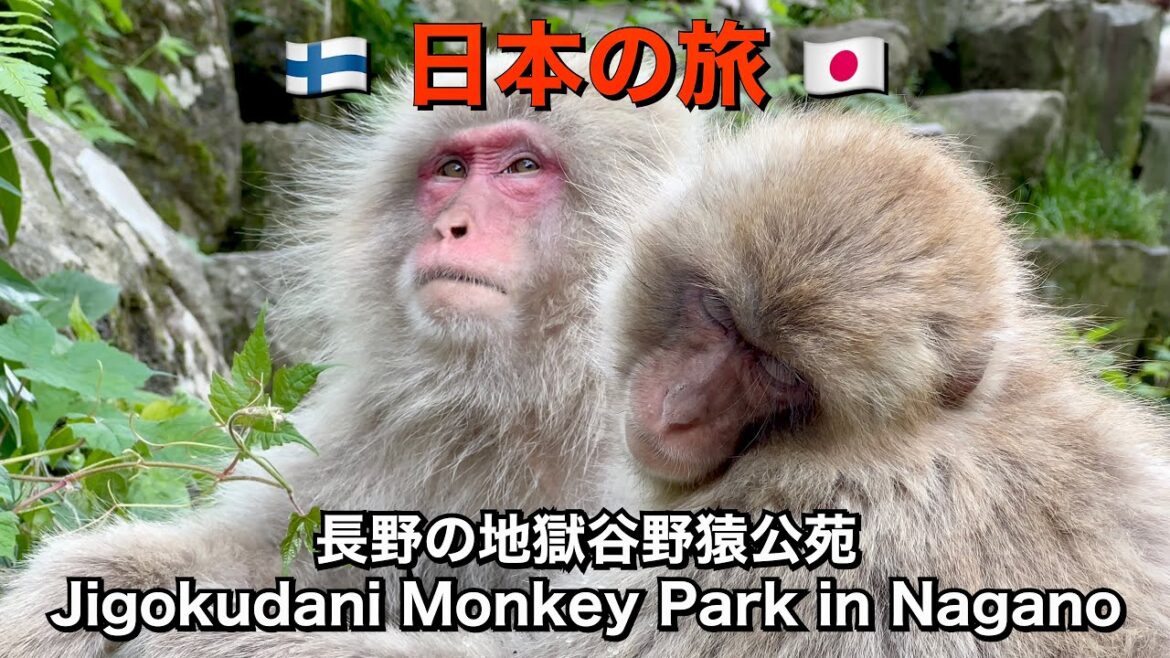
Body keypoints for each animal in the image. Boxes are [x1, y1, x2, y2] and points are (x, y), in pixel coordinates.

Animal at [0, 51, 703, 658]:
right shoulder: (380, 427)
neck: (535, 395)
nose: (451, 226)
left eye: (523, 167)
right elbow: (264, 558)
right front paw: (80, 587)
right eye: (452, 171)